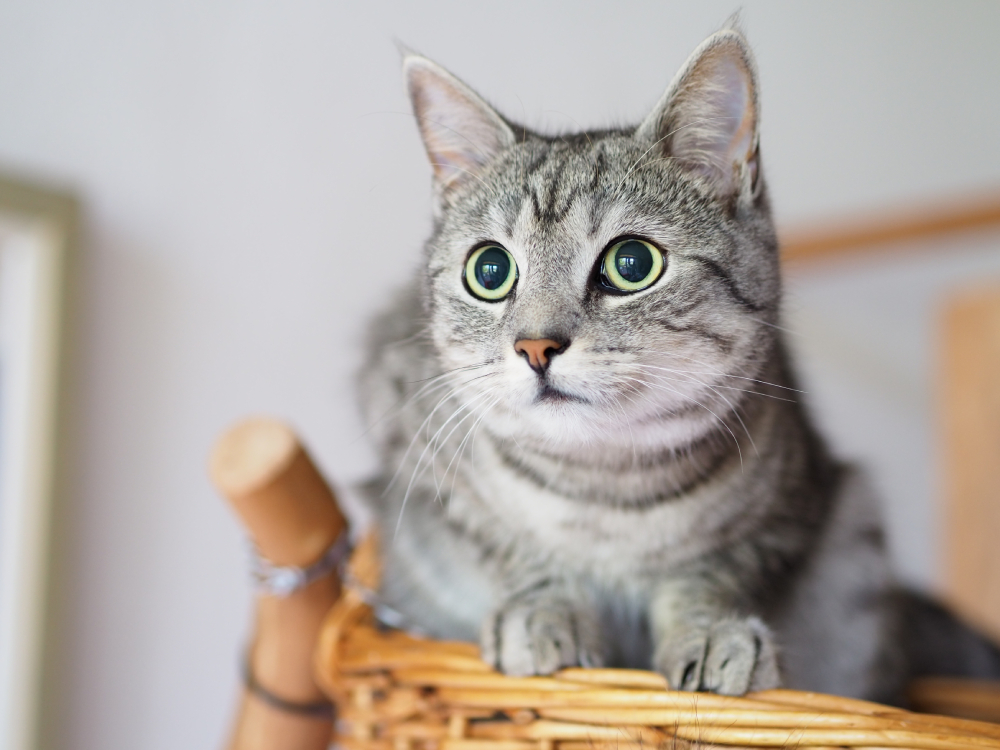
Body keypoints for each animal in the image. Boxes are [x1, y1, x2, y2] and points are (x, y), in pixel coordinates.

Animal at [354, 25, 1000, 704]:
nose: (535, 347)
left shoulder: (782, 509)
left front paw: (710, 633)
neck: (605, 488)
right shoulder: (418, 455)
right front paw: (544, 614)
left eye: (632, 264)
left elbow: (710, 574)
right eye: (490, 270)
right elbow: (513, 552)